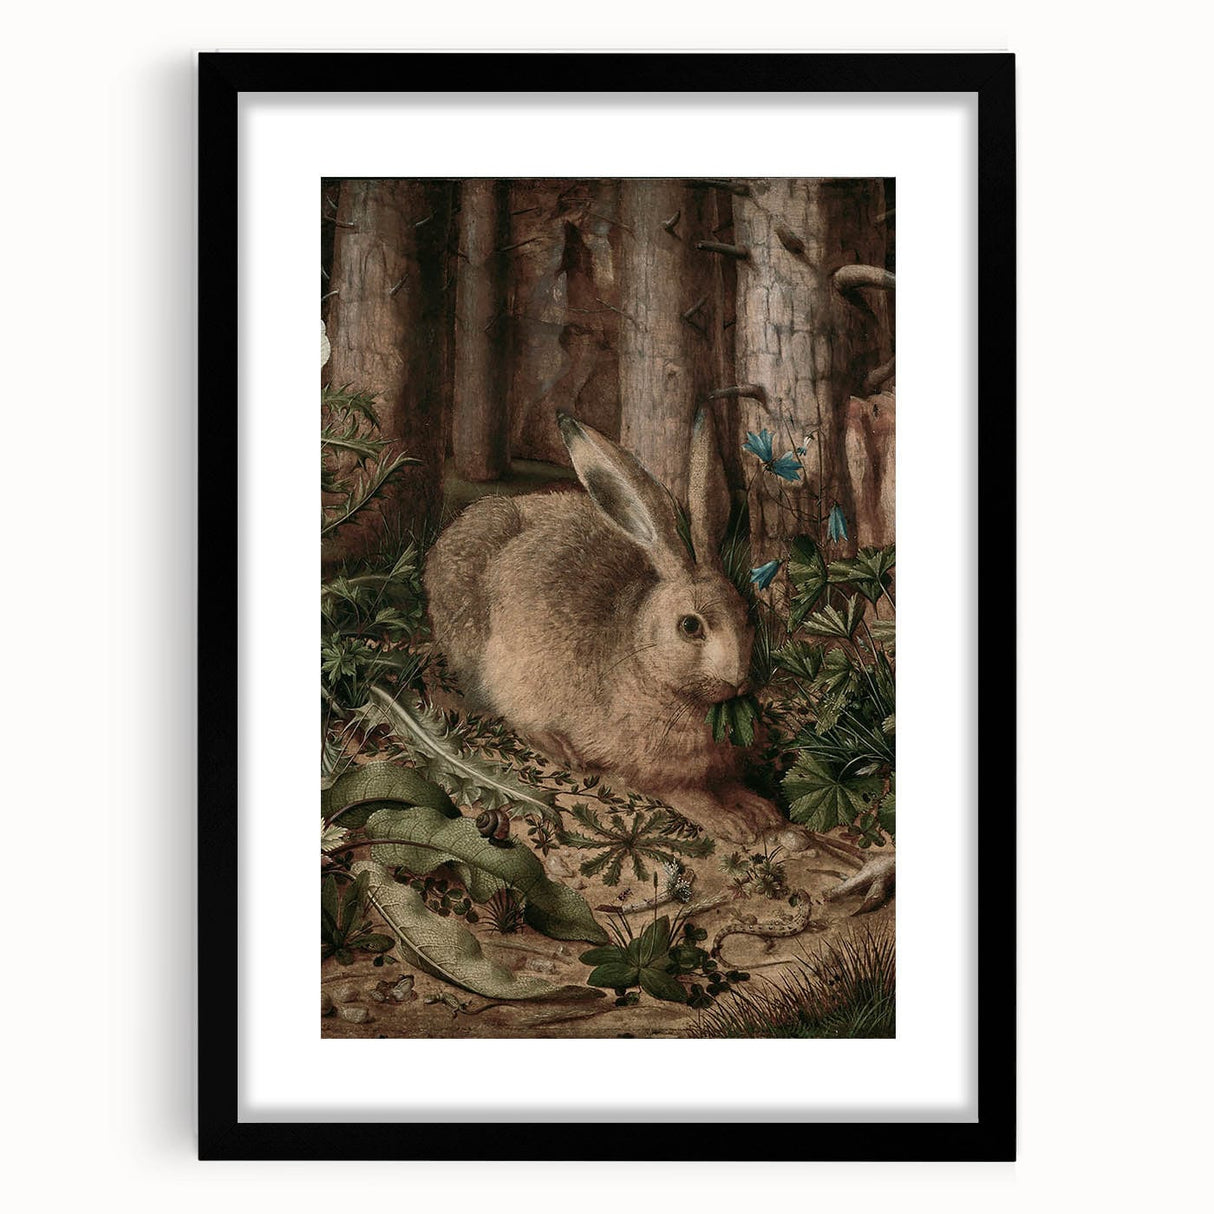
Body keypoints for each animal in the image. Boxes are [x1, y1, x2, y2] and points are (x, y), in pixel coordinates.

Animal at [424, 409, 798, 845]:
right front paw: (732, 823)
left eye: (747, 615)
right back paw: (560, 746)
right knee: (505, 706)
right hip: (488, 657)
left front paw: (761, 810)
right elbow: (690, 795)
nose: (738, 680)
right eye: (690, 626)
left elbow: (729, 784)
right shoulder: (653, 770)